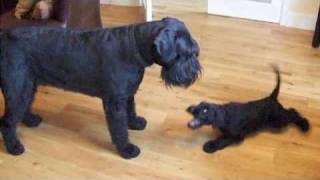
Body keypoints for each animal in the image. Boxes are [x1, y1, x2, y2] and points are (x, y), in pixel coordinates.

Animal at [0, 17, 200, 159]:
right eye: (186, 54)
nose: (196, 72)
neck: (135, 47)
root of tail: (4, 39)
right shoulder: (114, 103)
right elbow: (119, 128)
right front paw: (126, 149)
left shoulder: (127, 94)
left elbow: (131, 110)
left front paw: (135, 123)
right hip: (17, 88)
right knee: (8, 121)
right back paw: (14, 147)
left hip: (27, 85)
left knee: (24, 107)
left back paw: (30, 120)